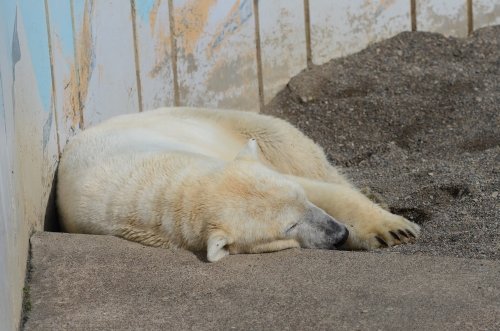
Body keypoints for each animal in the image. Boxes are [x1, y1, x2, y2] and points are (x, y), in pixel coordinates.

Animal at [56, 108, 420, 262]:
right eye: (289, 226)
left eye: (302, 200)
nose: (339, 233)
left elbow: (317, 187)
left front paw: (392, 229)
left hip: (229, 121)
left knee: (297, 151)